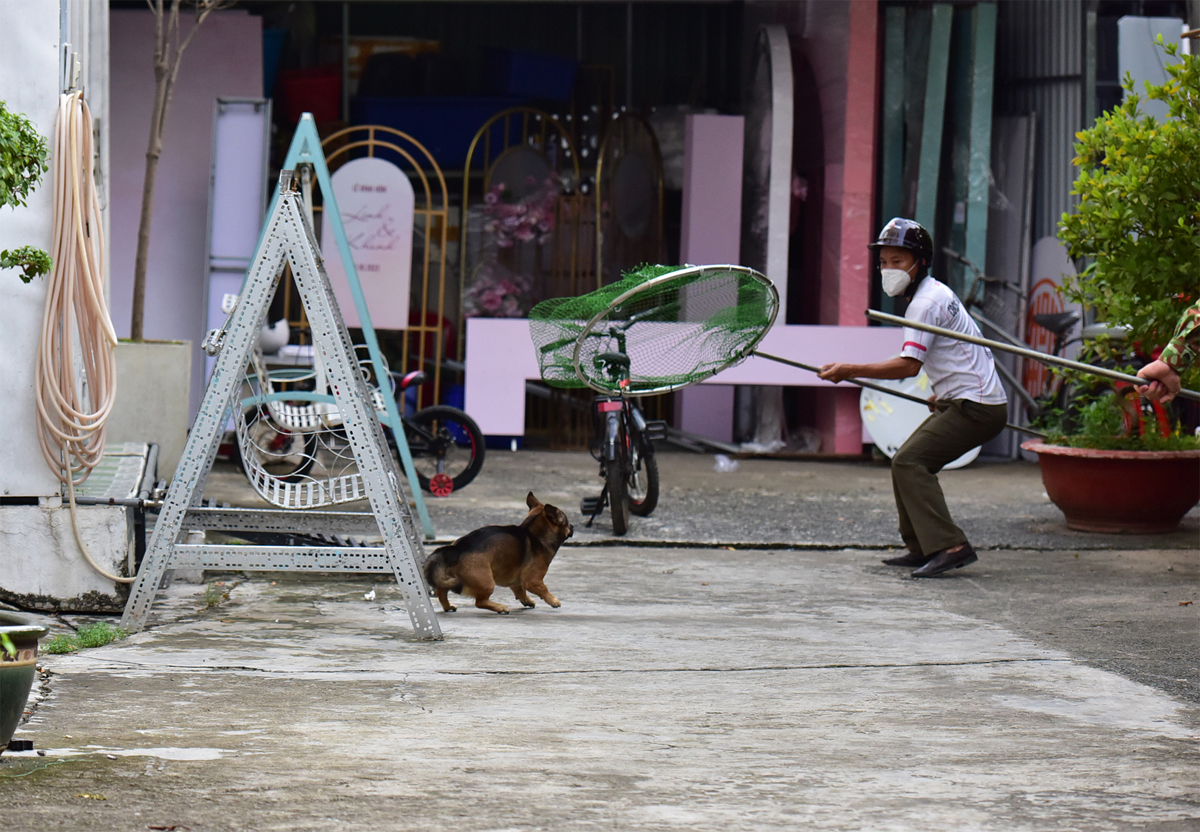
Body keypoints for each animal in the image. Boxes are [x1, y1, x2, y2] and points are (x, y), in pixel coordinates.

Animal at [422, 489, 571, 612]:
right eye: (568, 523)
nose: (573, 527)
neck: (533, 533)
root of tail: (455, 549)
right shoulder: (534, 581)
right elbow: (543, 590)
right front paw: (553, 601)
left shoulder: (517, 581)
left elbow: (520, 591)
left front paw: (527, 601)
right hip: (487, 583)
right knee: (480, 602)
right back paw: (500, 608)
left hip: (447, 579)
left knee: (441, 592)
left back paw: (448, 607)